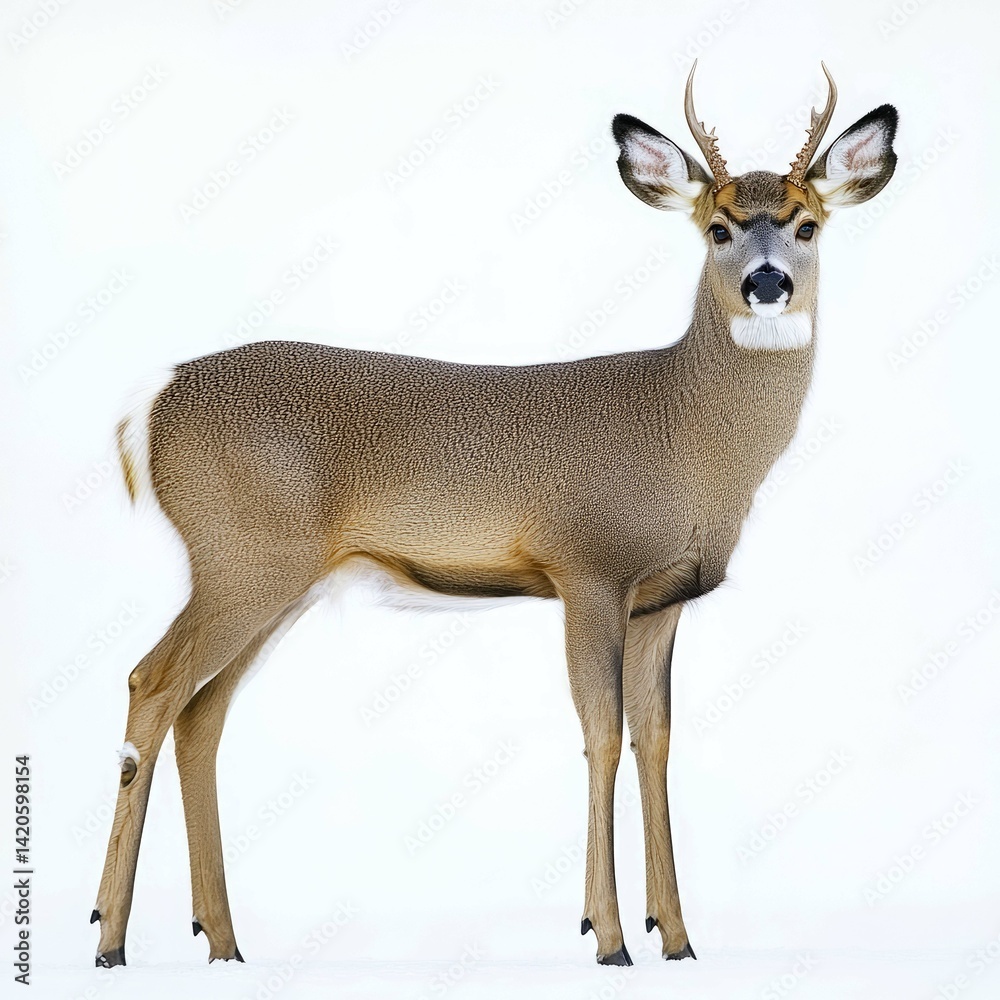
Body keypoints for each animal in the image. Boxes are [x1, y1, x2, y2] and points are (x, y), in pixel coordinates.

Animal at [91, 62, 898, 969]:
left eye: (807, 223)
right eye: (718, 228)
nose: (768, 282)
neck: (684, 429)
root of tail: (152, 403)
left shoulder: (663, 599)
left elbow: (655, 739)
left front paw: (679, 938)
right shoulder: (588, 569)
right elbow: (601, 733)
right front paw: (607, 935)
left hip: (275, 582)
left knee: (200, 714)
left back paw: (223, 941)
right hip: (241, 558)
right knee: (152, 682)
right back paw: (110, 937)